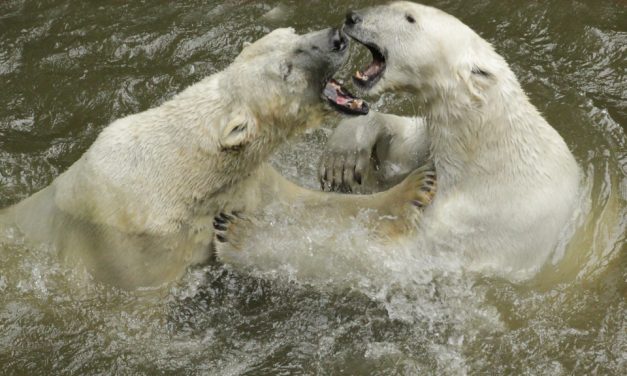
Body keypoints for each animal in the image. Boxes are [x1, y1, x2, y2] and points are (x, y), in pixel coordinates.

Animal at [0, 27, 436, 290]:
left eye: (291, 34)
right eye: (285, 68)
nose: (336, 37)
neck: (185, 173)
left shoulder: (243, 183)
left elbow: (308, 204)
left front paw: (416, 186)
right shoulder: (128, 256)